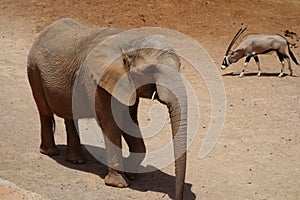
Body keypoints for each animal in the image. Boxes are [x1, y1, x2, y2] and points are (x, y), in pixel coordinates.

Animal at [28, 18, 188, 199]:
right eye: (150, 70)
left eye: (180, 66)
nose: (178, 196)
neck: (130, 44)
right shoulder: (98, 82)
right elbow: (110, 125)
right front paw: (118, 184)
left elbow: (129, 123)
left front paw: (132, 175)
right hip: (34, 70)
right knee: (45, 112)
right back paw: (50, 152)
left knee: (70, 115)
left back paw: (76, 160)